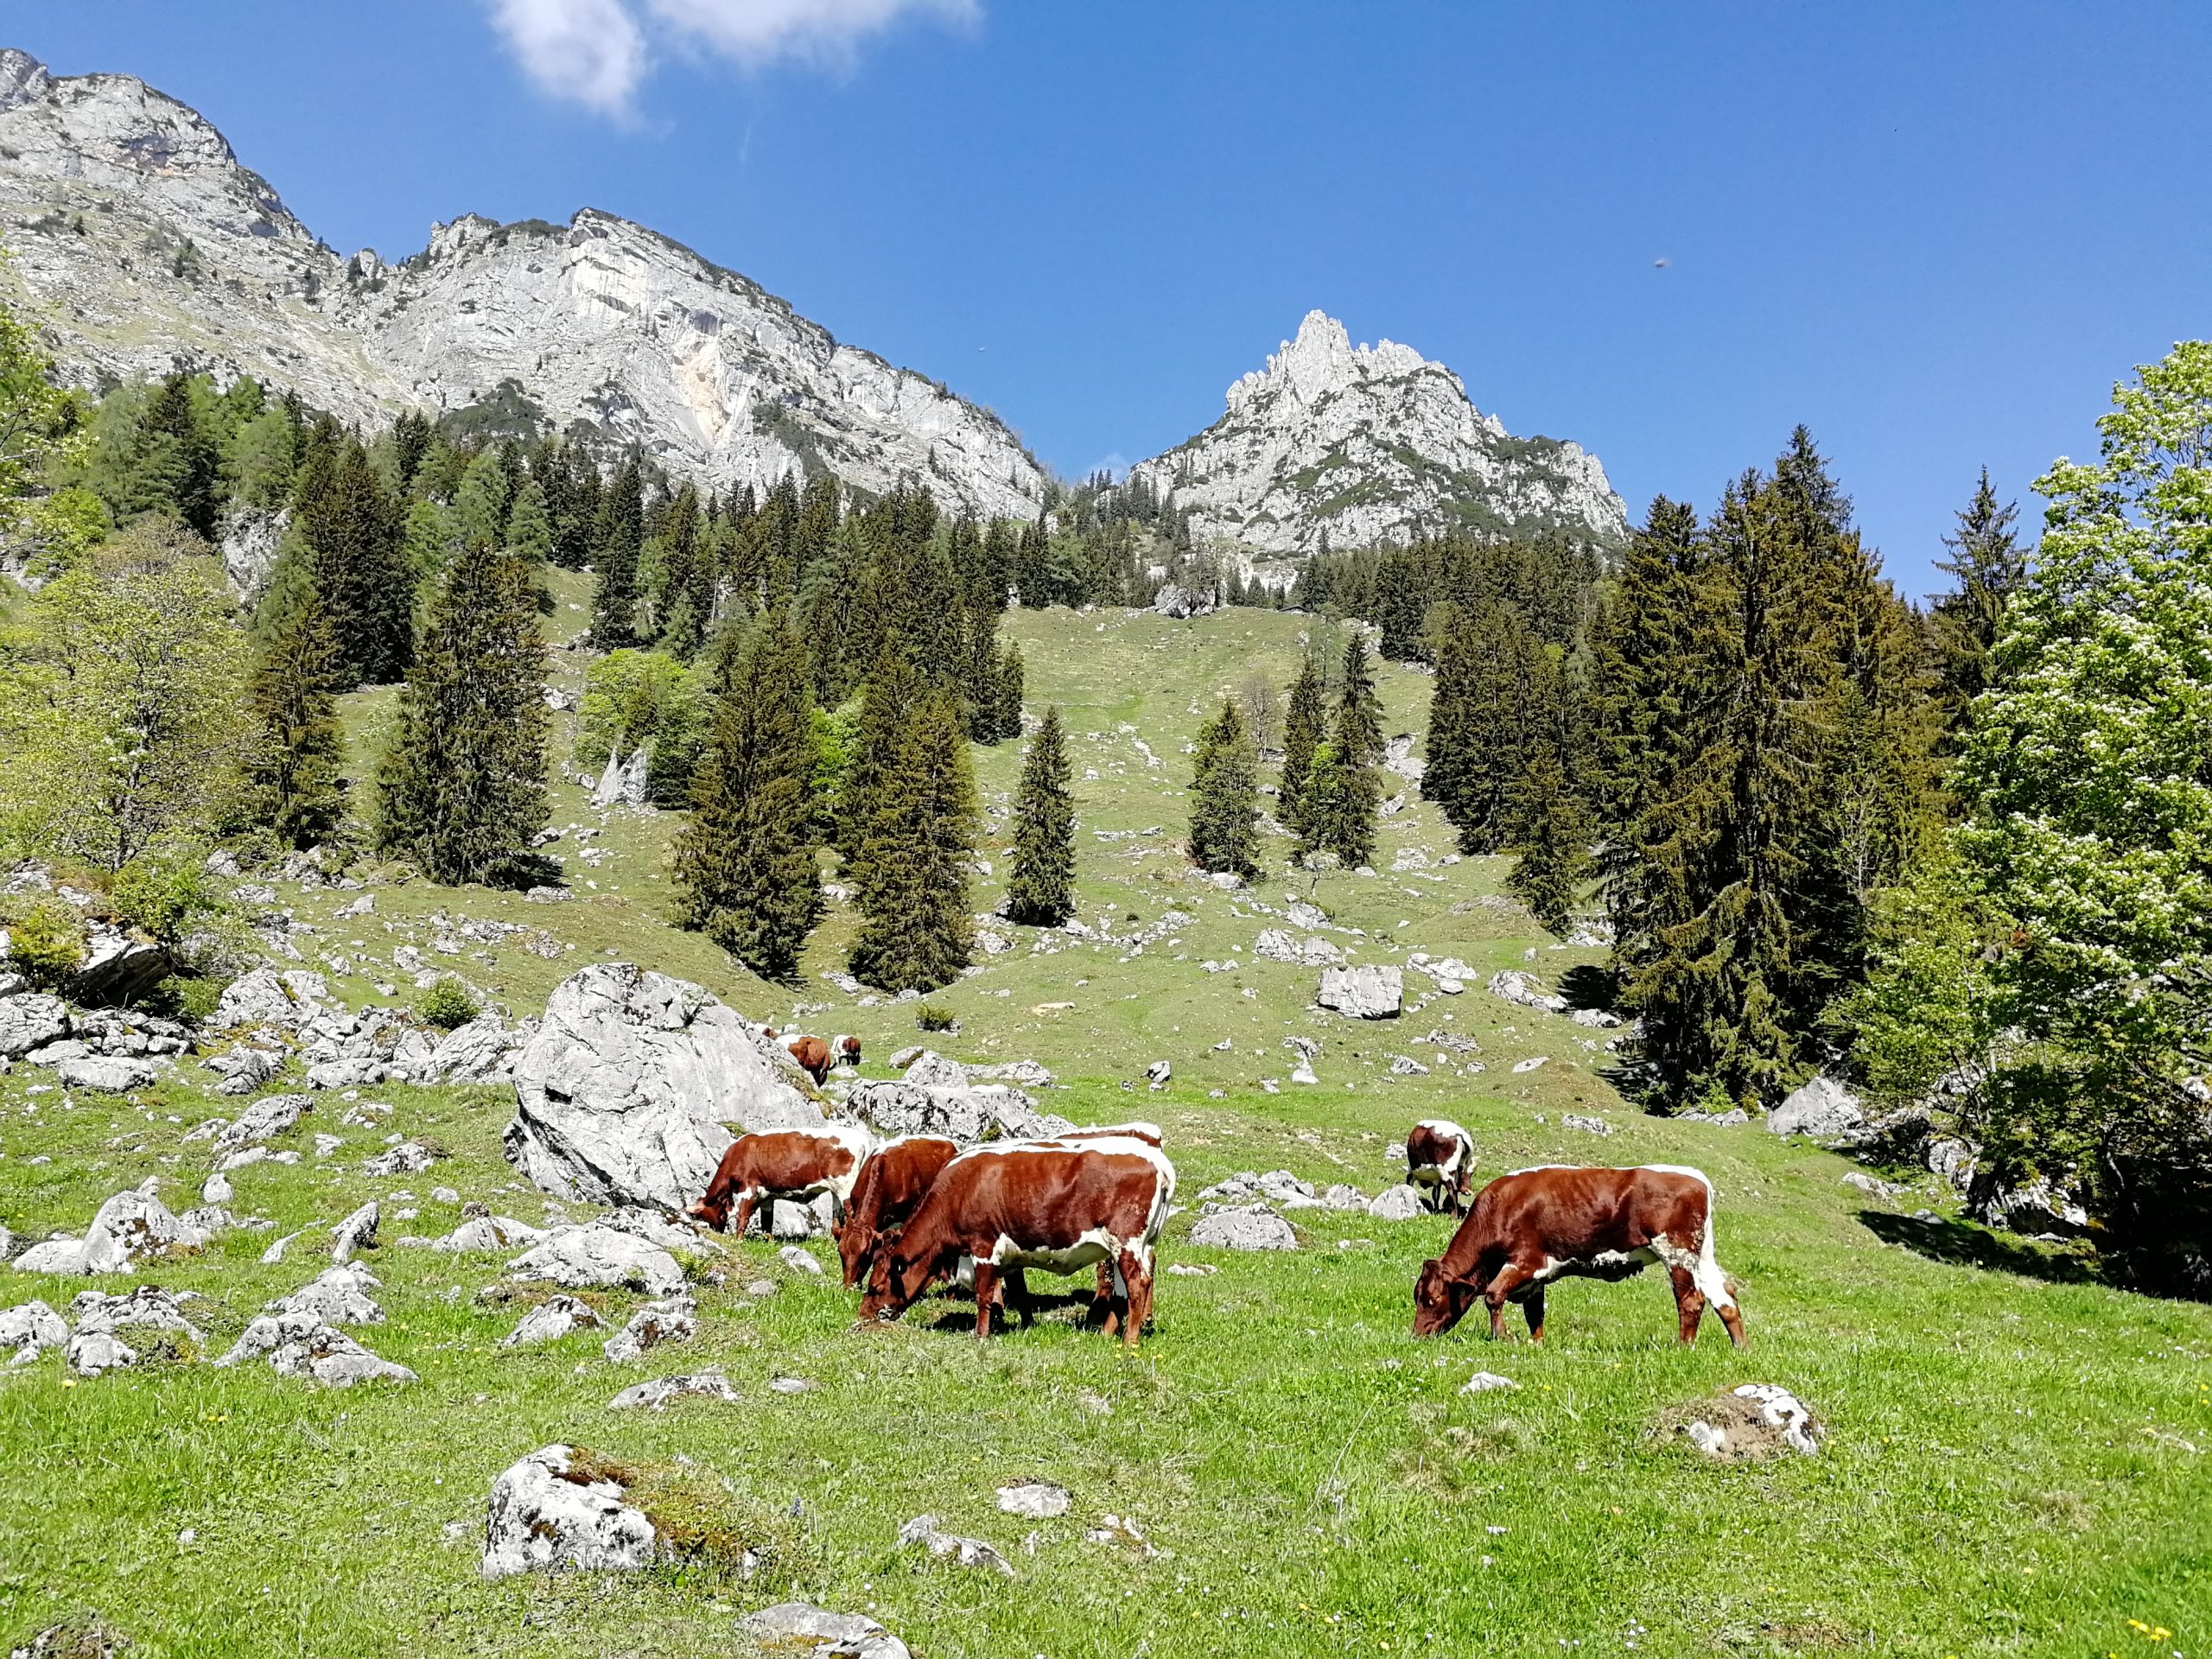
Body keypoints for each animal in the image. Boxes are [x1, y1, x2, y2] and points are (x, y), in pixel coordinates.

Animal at [685, 1123, 875, 1238]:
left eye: (703, 1215)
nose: (717, 1232)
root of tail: (861, 1138)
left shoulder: (748, 1189)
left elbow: (742, 1217)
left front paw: (737, 1240)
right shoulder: (766, 1196)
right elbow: (767, 1221)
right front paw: (768, 1241)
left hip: (846, 1187)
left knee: (851, 1213)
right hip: (836, 1189)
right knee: (838, 1216)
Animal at [858, 1141, 1176, 1353]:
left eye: (875, 1287)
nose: (862, 1315)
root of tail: (1158, 1160)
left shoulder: (984, 1247)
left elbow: (984, 1296)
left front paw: (980, 1334)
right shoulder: (1011, 1256)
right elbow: (1019, 1293)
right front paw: (1025, 1325)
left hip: (1126, 1243)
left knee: (1137, 1285)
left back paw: (1129, 1341)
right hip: (1131, 1247)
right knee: (1124, 1291)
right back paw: (1106, 1334)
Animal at [1415, 1167, 1743, 1353]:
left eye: (1432, 1299)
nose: (1418, 1335)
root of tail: (1696, 1178)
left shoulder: (1527, 1262)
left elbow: (1493, 1296)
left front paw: (1504, 1338)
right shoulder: (1536, 1279)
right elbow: (1535, 1314)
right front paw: (1537, 1345)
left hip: (1677, 1254)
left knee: (1691, 1301)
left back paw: (1684, 1348)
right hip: (1701, 1258)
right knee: (1724, 1297)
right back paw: (1741, 1347)